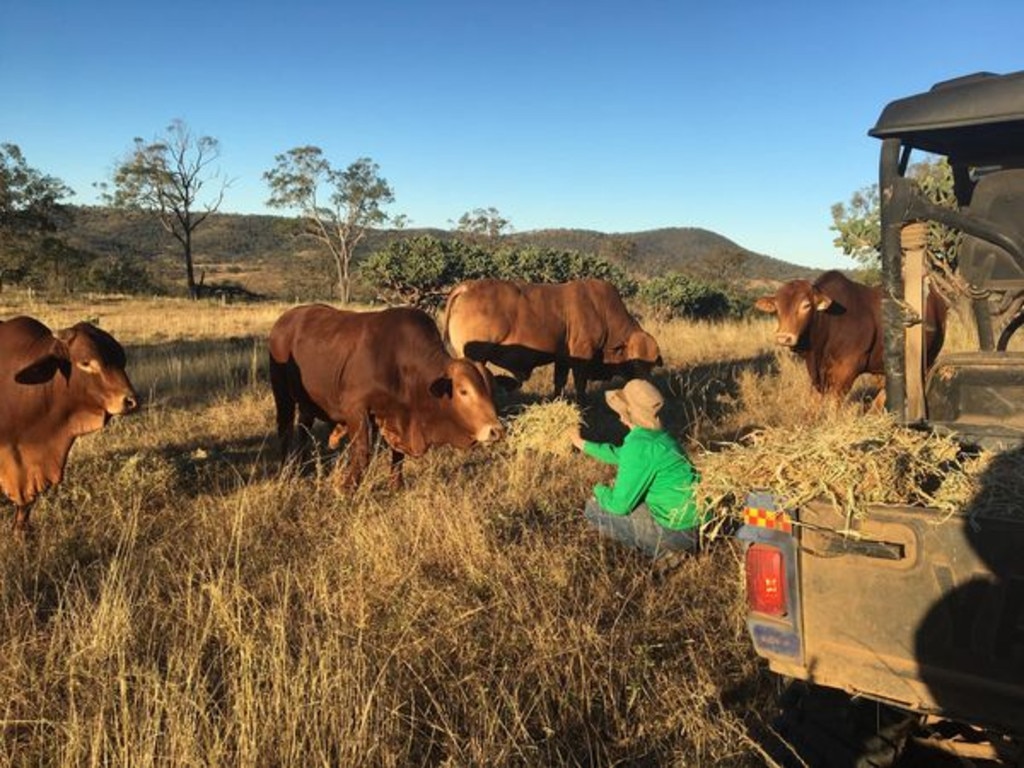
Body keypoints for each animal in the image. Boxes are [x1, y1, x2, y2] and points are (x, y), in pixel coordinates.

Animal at [268, 305, 507, 489]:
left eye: (491, 390)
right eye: (463, 391)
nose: (496, 431)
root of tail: (285, 320)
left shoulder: (397, 419)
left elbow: (398, 455)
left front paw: (396, 486)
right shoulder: (356, 410)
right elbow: (362, 453)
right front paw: (346, 489)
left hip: (306, 403)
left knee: (303, 428)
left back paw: (300, 463)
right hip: (282, 393)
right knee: (285, 428)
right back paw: (286, 469)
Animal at [442, 278, 663, 399]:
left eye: (651, 365)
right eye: (635, 363)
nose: (648, 389)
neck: (603, 312)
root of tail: (469, 287)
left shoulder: (562, 359)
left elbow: (559, 383)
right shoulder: (582, 357)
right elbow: (580, 385)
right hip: (475, 358)